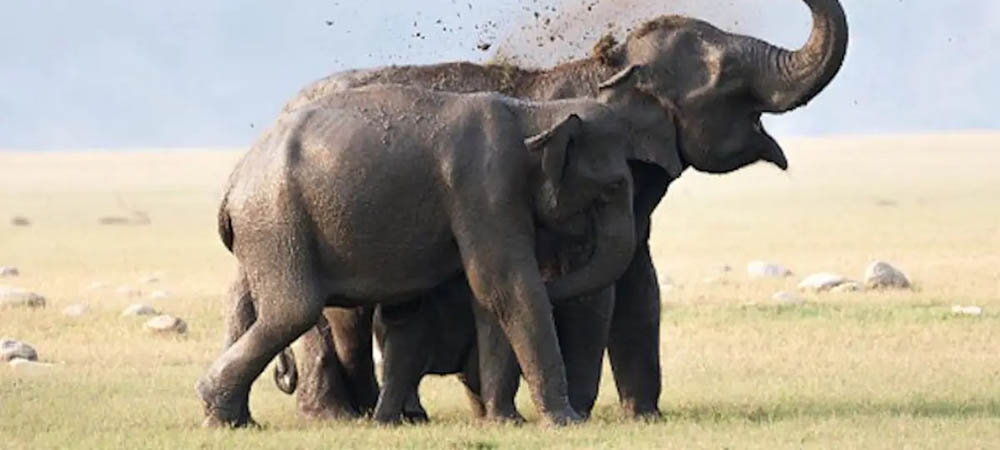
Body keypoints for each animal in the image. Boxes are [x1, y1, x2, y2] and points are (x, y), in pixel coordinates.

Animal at [199, 82, 640, 428]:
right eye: (613, 187)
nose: (575, 416)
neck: (532, 113)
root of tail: (232, 183)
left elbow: (488, 297)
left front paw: (506, 422)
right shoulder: (485, 186)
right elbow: (504, 284)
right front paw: (564, 422)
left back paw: (233, 419)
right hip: (276, 223)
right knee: (293, 311)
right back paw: (217, 408)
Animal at [276, 0, 852, 420]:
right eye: (728, 74)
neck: (608, 67)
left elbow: (639, 286)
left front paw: (644, 418)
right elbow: (589, 289)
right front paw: (579, 413)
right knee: (339, 318)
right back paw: (337, 417)